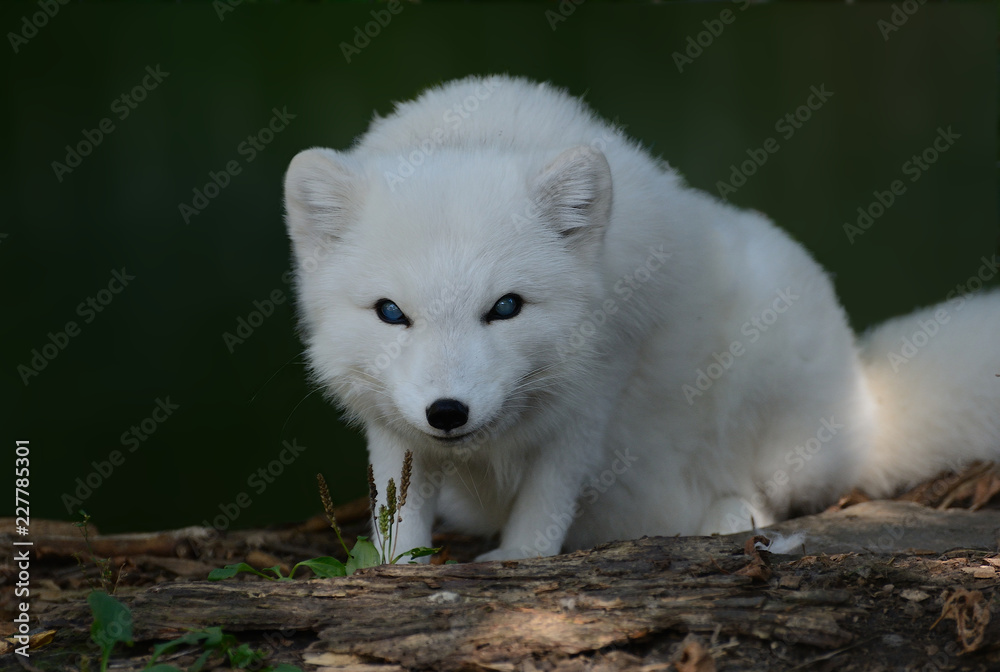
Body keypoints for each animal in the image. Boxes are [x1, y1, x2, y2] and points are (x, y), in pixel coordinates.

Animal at [283, 75, 1000, 561]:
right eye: (391, 313)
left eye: (506, 307)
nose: (448, 412)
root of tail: (869, 408)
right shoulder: (391, 421)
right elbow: (397, 502)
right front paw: (395, 568)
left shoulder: (596, 384)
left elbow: (547, 497)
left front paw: (519, 561)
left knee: (776, 497)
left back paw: (727, 519)